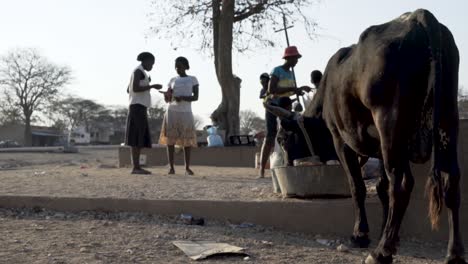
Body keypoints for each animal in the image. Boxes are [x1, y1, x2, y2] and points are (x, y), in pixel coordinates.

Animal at [304, 8, 464, 264]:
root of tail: (419, 16)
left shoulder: (341, 140)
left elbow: (358, 186)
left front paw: (361, 234)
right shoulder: (381, 149)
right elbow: (381, 187)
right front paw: (387, 233)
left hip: (390, 121)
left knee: (402, 184)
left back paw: (381, 252)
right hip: (447, 119)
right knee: (451, 181)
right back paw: (454, 253)